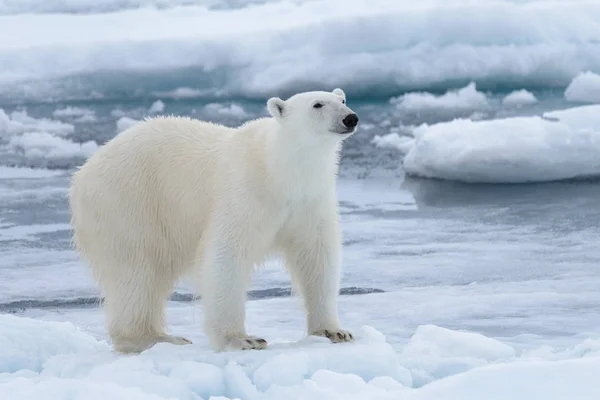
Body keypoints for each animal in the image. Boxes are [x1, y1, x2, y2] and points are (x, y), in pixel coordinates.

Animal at [70, 88, 360, 354]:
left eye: (343, 100)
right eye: (317, 104)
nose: (350, 118)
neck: (279, 170)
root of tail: (83, 171)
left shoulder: (310, 201)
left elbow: (317, 255)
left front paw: (334, 331)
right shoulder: (245, 192)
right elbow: (227, 255)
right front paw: (242, 339)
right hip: (128, 203)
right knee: (135, 270)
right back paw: (151, 339)